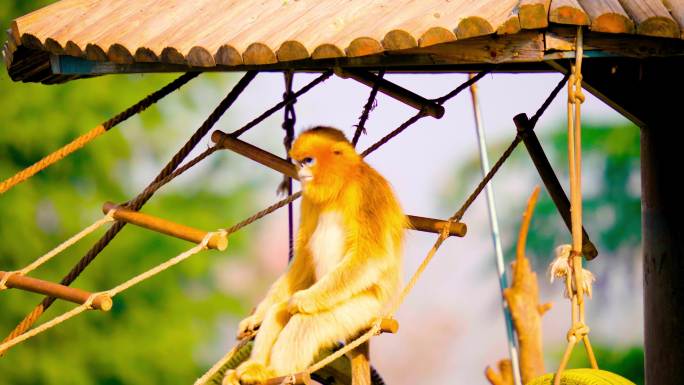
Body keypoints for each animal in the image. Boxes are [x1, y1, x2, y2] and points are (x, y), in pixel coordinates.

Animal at [224, 127, 406, 384]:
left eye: (308, 160)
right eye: (299, 162)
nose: (301, 172)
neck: (342, 184)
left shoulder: (367, 191)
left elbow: (371, 255)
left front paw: (304, 300)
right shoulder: (309, 198)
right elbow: (303, 258)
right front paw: (255, 318)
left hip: (362, 309)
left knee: (306, 321)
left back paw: (277, 371)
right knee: (279, 311)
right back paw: (257, 370)